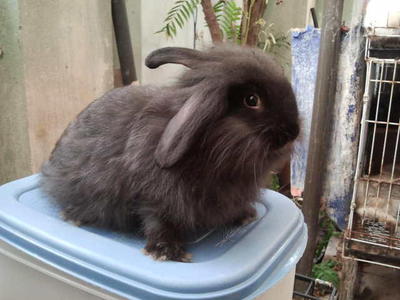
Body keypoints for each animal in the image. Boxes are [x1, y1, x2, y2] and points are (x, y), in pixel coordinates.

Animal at [40, 43, 298, 262]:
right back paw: (73, 217)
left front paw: (246, 216)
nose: (292, 132)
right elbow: (157, 221)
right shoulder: (154, 198)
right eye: (252, 100)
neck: (209, 152)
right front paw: (167, 253)